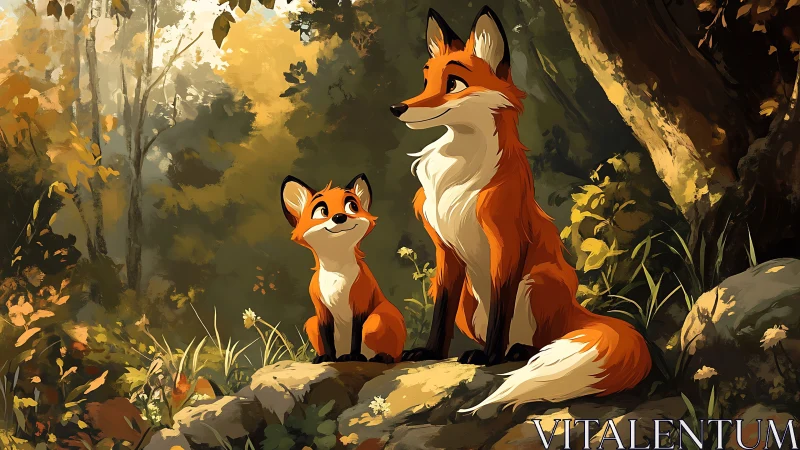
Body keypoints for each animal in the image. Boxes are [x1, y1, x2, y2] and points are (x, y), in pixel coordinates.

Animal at [280, 173, 406, 364]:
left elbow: (356, 335)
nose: (340, 217)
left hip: (377, 320)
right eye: (322, 210)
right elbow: (327, 338)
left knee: (391, 354)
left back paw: (381, 357)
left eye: (352, 206)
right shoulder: (321, 310)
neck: (336, 273)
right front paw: (328, 358)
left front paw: (354, 357)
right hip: (311, 323)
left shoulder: (360, 302)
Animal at [388, 6, 651, 411]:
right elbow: (441, 310)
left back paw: (515, 351)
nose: (397, 108)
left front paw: (491, 357)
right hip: (470, 301)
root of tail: (576, 311)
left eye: (454, 84)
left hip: (538, 280)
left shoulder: (506, 241)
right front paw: (431, 352)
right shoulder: (446, 250)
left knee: (540, 341)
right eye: (426, 80)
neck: (459, 170)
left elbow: (502, 304)